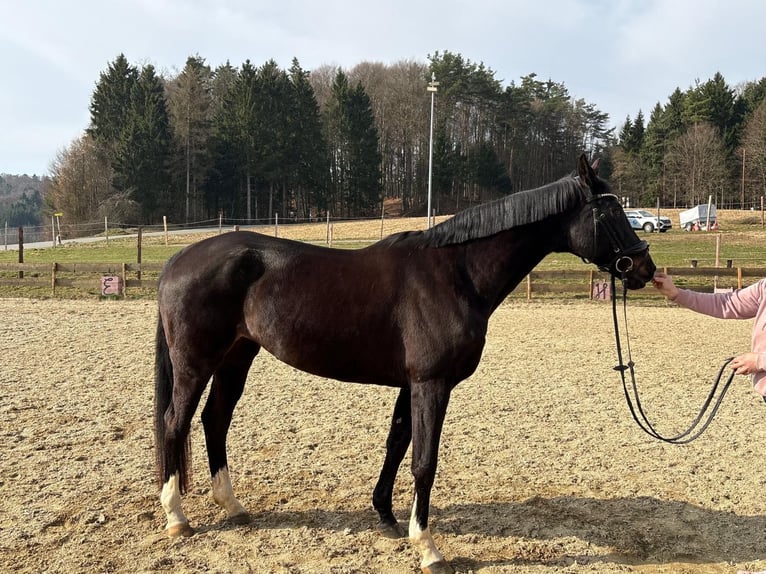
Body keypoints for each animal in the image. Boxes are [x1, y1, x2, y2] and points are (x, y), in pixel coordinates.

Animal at [153, 154, 655, 574]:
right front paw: (428, 547)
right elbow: (424, 461)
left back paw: (232, 505)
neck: (456, 273)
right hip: (196, 361)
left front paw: (386, 515)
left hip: (237, 356)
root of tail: (178, 259)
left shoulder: (408, 384)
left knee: (215, 418)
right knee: (175, 421)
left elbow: (396, 443)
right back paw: (177, 517)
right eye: (609, 213)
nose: (644, 269)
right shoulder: (432, 383)